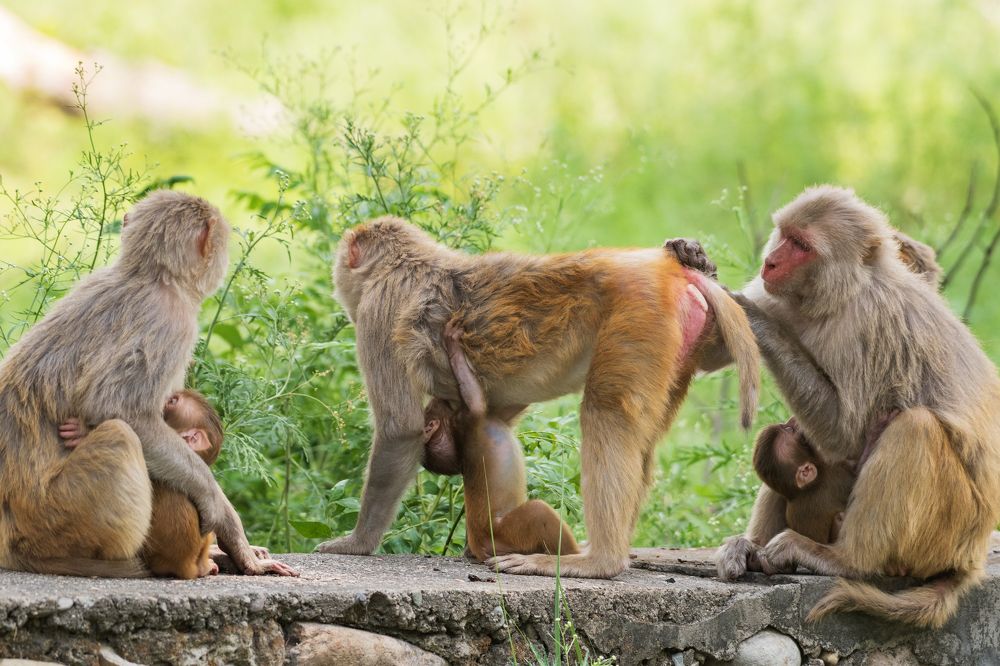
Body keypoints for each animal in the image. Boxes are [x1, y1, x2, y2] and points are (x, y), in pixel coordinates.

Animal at [0, 190, 297, 578]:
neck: (151, 276)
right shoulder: (172, 323)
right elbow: (115, 408)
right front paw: (224, 517)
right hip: (58, 516)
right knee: (120, 434)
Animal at [420, 321, 580, 561]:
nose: (441, 396)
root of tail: (478, 546)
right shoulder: (467, 420)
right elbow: (477, 403)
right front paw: (452, 345)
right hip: (505, 536)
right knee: (538, 512)